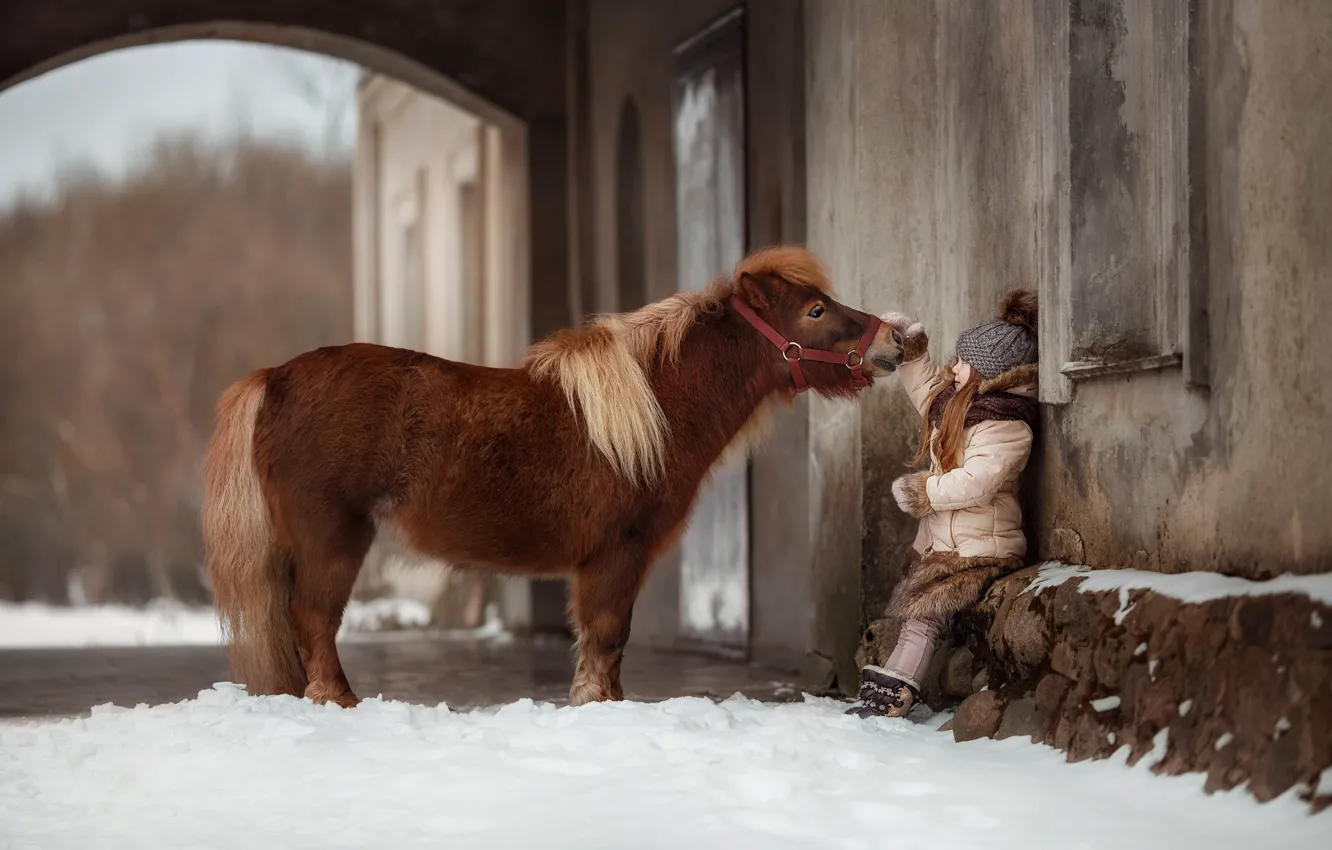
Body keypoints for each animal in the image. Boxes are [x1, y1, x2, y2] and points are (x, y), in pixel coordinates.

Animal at [201, 245, 905, 708]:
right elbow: (607, 635)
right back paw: (339, 701)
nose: (899, 340)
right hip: (333, 539)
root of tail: (274, 379)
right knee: (313, 620)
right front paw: (600, 705)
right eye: (815, 312)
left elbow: (600, 641)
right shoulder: (615, 554)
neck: (652, 407)